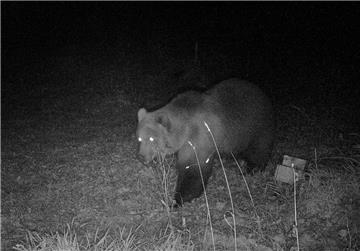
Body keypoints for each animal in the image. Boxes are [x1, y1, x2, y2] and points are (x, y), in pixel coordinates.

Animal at [136, 78, 274, 206]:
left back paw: (251, 170)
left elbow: (194, 169)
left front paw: (178, 200)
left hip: (257, 128)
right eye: (139, 138)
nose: (141, 157)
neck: (186, 129)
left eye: (152, 139)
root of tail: (261, 92)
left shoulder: (199, 138)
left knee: (259, 151)